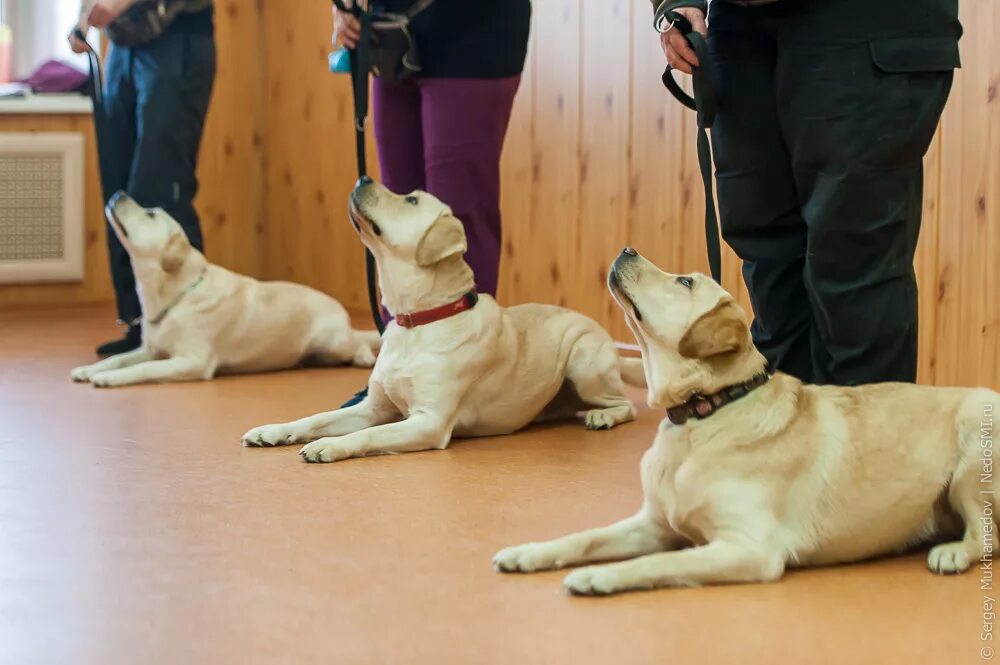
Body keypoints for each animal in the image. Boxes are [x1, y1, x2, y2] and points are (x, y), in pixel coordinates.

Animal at [68, 192, 376, 386]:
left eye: (151, 214)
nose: (119, 193)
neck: (175, 297)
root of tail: (342, 313)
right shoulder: (152, 349)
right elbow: (120, 358)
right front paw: (90, 369)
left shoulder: (192, 361)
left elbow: (142, 368)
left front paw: (108, 378)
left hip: (331, 343)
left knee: (358, 343)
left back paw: (363, 355)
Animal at [242, 179, 640, 464]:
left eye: (412, 201)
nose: (363, 177)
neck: (417, 322)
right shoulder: (374, 408)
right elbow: (315, 417)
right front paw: (275, 430)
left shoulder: (428, 422)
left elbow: (368, 435)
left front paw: (330, 445)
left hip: (584, 365)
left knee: (626, 405)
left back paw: (603, 417)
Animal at [494, 246, 1000, 592]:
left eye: (685, 282)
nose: (627, 250)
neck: (705, 412)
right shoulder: (653, 524)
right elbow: (584, 537)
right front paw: (530, 552)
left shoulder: (749, 548)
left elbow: (657, 564)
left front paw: (599, 576)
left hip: (972, 451)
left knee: (986, 536)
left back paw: (953, 553)